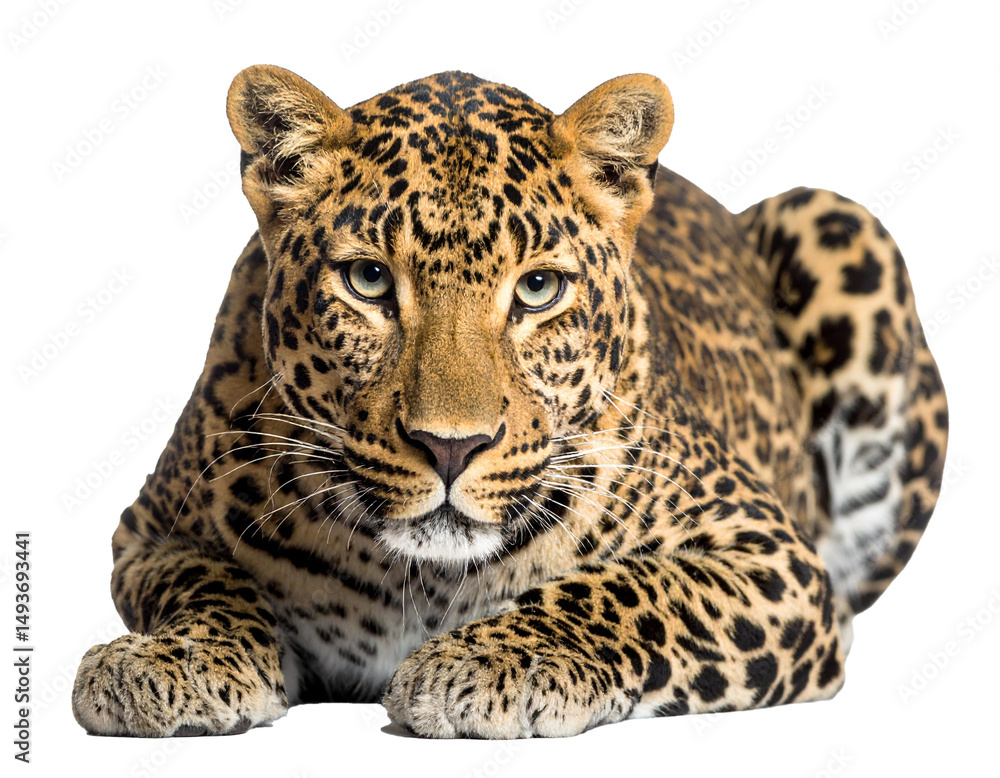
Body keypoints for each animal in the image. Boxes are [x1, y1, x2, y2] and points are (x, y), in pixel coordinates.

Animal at [72, 66, 947, 739]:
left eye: (537, 290)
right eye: (368, 280)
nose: (450, 447)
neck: (421, 581)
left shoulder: (770, 555)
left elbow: (630, 590)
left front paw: (490, 660)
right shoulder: (148, 529)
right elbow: (206, 579)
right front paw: (173, 658)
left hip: (845, 225)